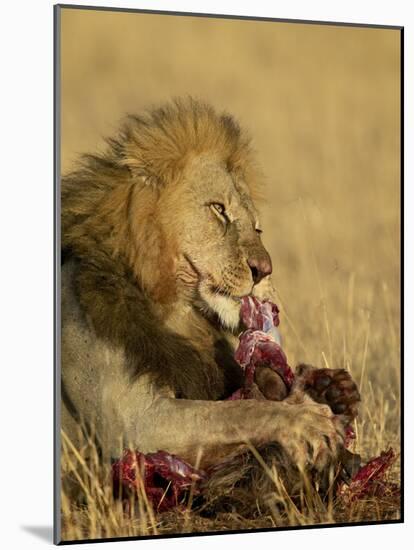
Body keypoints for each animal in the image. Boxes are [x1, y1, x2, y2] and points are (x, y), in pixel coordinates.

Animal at [59, 99, 358, 484]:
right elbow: (237, 413)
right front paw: (306, 419)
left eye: (257, 227)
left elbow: (239, 402)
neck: (175, 310)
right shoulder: (136, 423)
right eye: (219, 209)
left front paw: (330, 389)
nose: (264, 270)